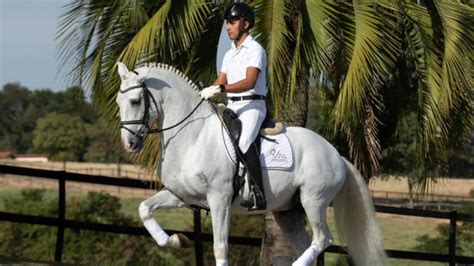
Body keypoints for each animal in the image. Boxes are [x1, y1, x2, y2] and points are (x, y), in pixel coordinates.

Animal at [116, 62, 386, 266]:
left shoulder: (219, 199)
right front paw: (178, 240)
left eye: (136, 101)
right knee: (306, 244)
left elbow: (220, 247)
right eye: (119, 102)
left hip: (314, 200)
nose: (129, 144)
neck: (193, 135)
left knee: (322, 240)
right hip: (288, 213)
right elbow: (144, 209)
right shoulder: (180, 195)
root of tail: (337, 156)